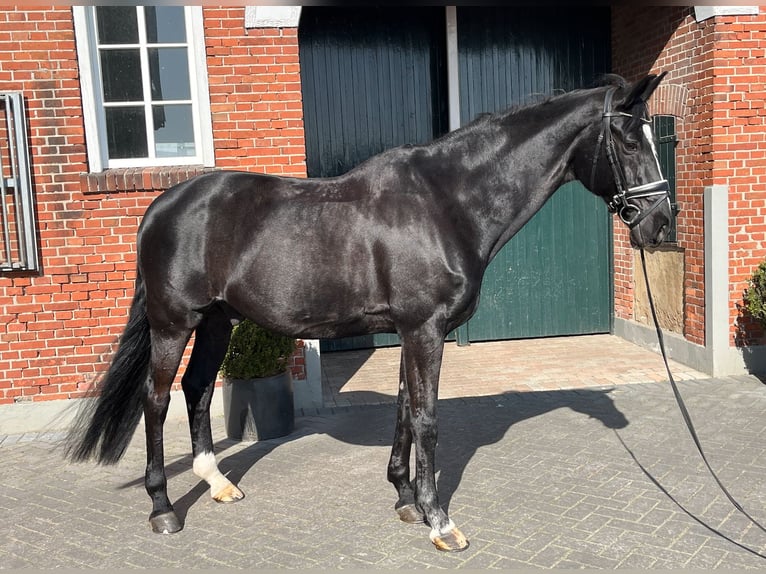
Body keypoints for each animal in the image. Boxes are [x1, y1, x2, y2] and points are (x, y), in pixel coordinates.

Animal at [69, 72, 676, 552]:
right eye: (627, 138)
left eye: (653, 133)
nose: (660, 223)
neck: (445, 203)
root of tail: (160, 206)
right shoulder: (426, 330)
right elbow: (428, 419)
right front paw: (440, 521)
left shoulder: (410, 331)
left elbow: (406, 412)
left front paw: (406, 499)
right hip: (173, 323)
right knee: (155, 400)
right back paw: (163, 509)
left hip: (218, 321)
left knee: (196, 388)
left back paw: (217, 483)